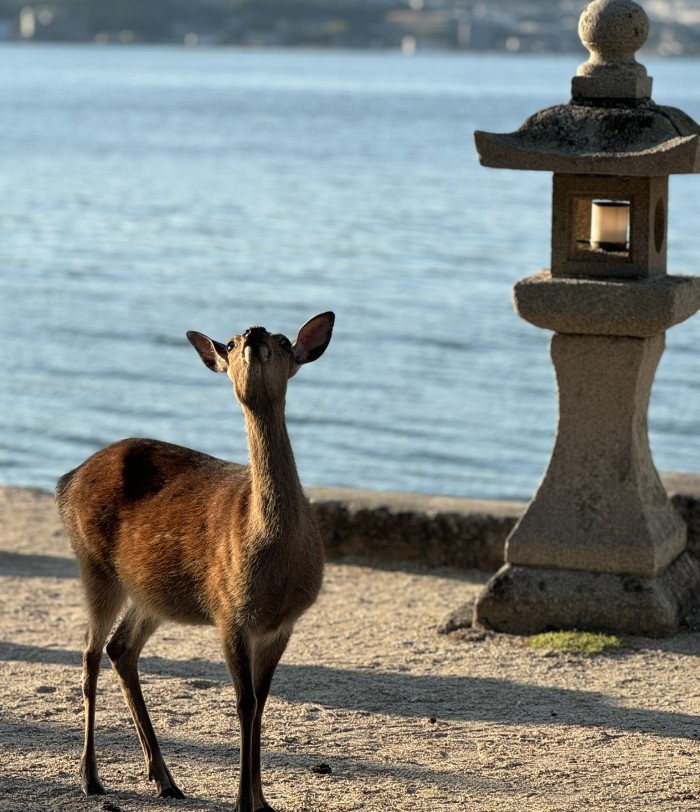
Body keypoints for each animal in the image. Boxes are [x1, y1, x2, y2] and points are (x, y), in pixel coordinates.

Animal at [56, 312, 334, 812]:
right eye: (232, 341)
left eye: (285, 341)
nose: (255, 333)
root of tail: (65, 481)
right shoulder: (228, 612)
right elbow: (244, 703)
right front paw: (244, 802)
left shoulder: (283, 624)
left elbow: (262, 702)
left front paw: (262, 801)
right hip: (93, 565)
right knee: (89, 654)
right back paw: (90, 777)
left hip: (151, 594)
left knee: (120, 648)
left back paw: (165, 779)